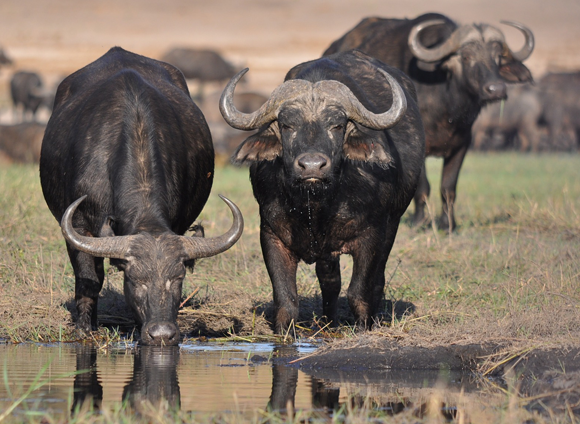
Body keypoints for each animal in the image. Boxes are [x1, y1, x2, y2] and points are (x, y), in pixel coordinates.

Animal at [38, 47, 242, 344]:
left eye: (178, 279)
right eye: (135, 280)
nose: (162, 333)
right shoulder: (78, 226)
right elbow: (89, 279)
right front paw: (85, 328)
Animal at [324, 13, 532, 230]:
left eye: (497, 58)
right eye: (467, 57)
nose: (496, 89)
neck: (447, 106)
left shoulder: (462, 144)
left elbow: (448, 188)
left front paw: (448, 224)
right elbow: (422, 188)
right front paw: (418, 222)